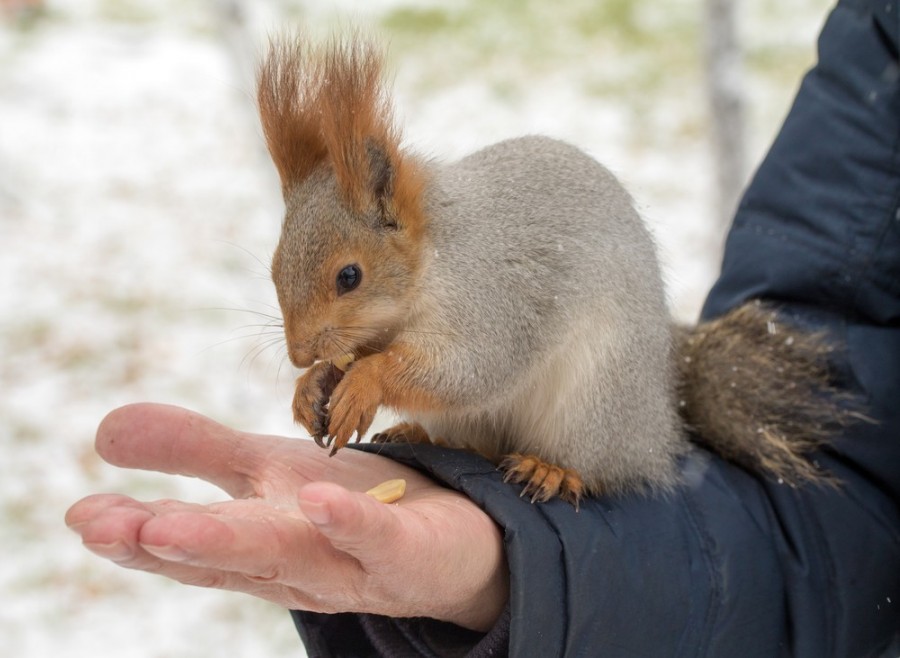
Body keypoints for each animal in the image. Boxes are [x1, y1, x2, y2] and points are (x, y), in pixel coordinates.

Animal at [255, 34, 856, 508]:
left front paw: (363, 382)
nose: (298, 354)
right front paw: (313, 385)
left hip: (597, 402)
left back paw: (552, 469)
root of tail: (663, 417)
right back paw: (419, 434)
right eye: (274, 266)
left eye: (349, 276)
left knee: (600, 467)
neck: (432, 264)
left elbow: (470, 370)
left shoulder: (495, 301)